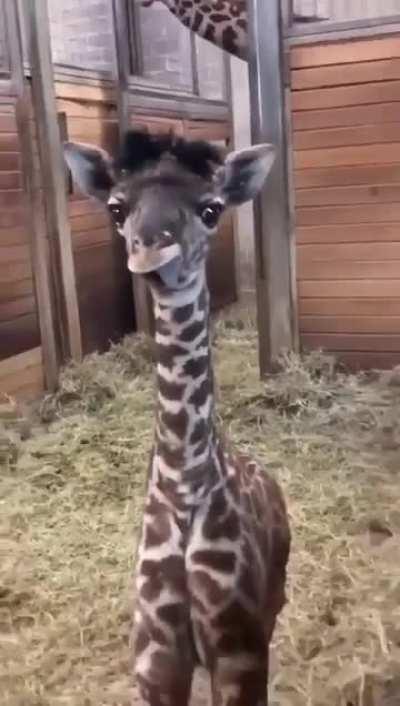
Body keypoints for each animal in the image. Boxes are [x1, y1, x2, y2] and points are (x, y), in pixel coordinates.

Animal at [64, 130, 290, 706]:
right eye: (117, 208)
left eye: (211, 209)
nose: (152, 257)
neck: (183, 487)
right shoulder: (156, 655)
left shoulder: (238, 647)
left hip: (273, 597)